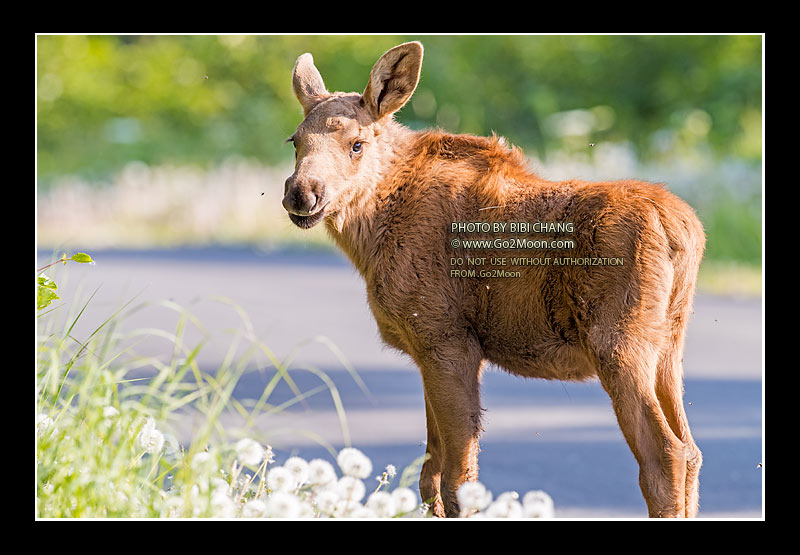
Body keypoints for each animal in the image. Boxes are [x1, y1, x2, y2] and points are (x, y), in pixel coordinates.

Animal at [281, 41, 705, 518]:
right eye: (295, 141)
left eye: (356, 143)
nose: (301, 193)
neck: (371, 235)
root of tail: (683, 230)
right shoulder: (428, 349)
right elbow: (430, 477)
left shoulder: (447, 339)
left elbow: (457, 481)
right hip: (668, 346)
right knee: (691, 450)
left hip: (618, 341)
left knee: (664, 453)